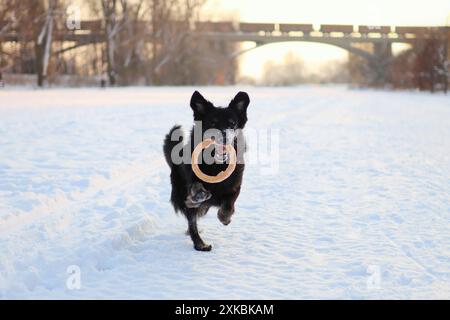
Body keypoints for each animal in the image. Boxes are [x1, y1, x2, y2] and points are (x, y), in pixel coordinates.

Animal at [163, 91, 251, 251]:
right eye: (212, 123)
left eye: (232, 124)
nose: (223, 136)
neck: (216, 164)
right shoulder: (191, 179)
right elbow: (196, 186)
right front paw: (199, 195)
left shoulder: (235, 186)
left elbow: (229, 205)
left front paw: (225, 218)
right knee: (192, 224)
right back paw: (200, 244)